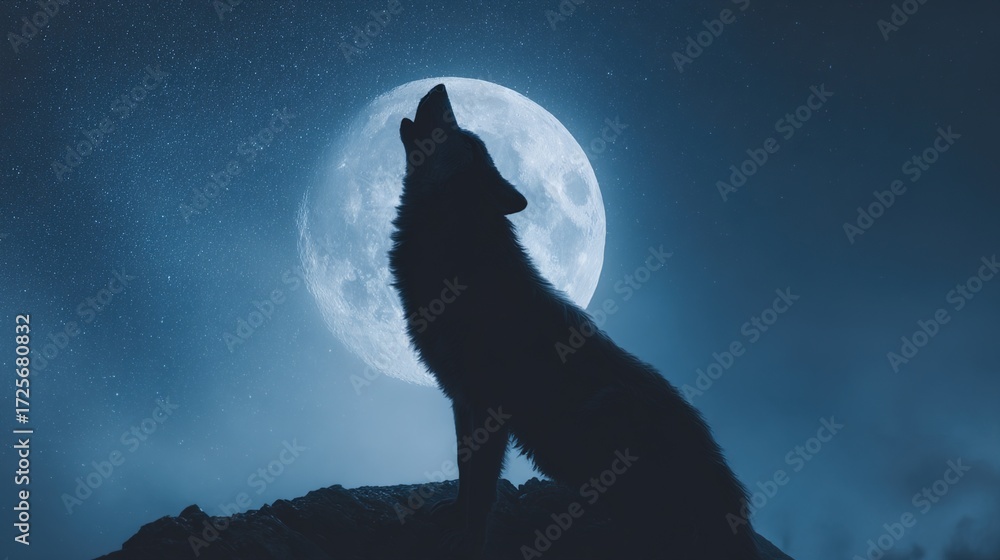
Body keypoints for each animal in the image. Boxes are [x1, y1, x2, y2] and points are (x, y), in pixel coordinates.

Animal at [389, 84, 762, 559]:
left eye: (467, 138)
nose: (440, 87)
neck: (455, 245)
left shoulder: (490, 405)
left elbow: (484, 485)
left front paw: (469, 538)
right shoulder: (461, 399)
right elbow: (464, 469)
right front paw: (454, 516)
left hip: (603, 418)